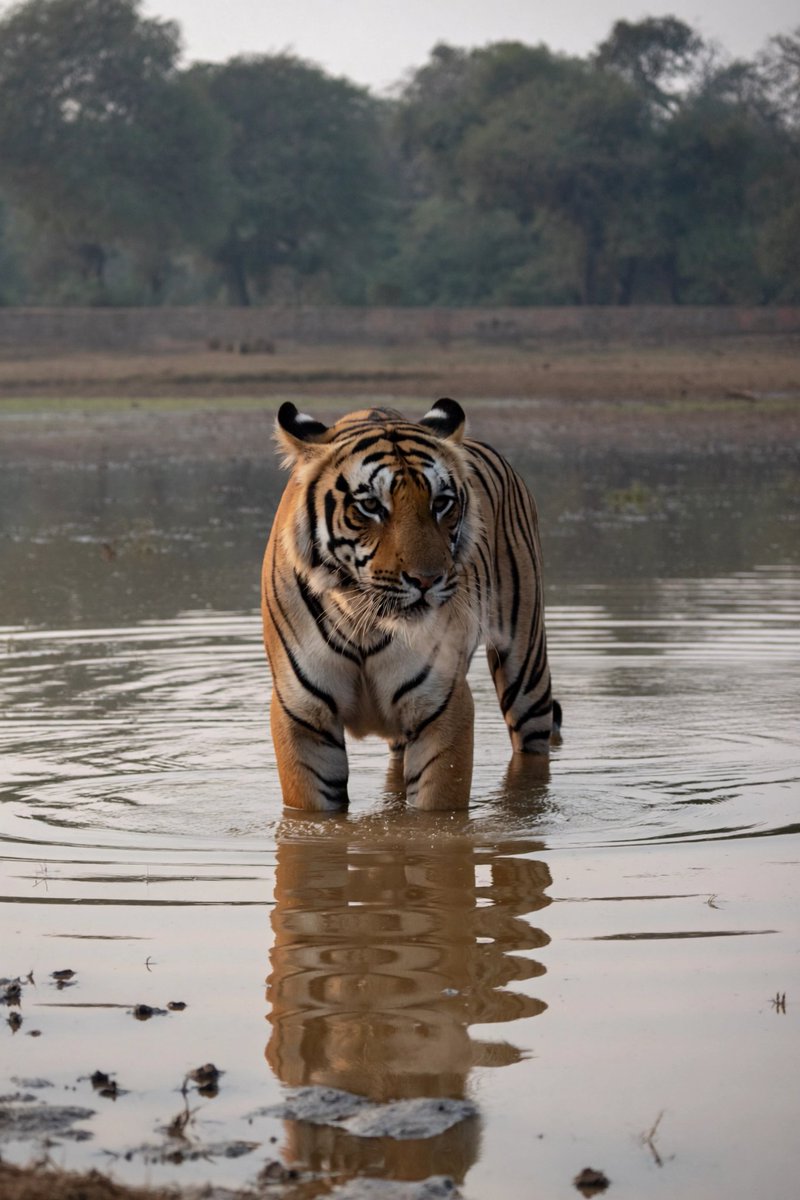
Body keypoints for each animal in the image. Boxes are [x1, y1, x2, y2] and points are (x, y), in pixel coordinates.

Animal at [261, 398, 560, 811]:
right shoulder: (303, 715)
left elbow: (433, 814)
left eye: (441, 503)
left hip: (526, 668)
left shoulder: (441, 706)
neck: (362, 619)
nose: (427, 580)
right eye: (371, 505)